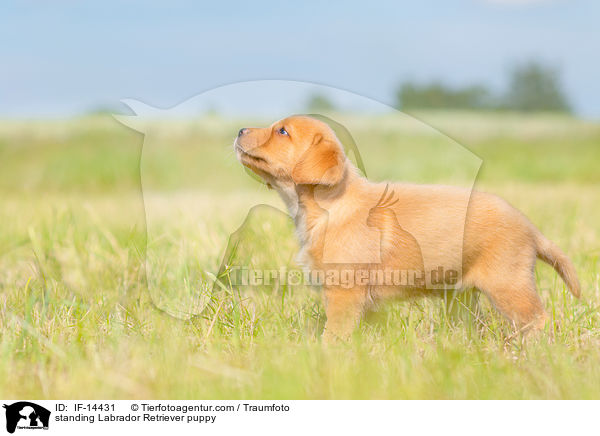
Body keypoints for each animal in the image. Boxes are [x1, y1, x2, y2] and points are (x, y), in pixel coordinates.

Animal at [234, 116, 580, 340]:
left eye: (282, 131)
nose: (239, 129)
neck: (327, 206)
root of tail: (530, 227)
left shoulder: (345, 293)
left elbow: (334, 335)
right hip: (464, 297)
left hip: (509, 285)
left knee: (539, 320)